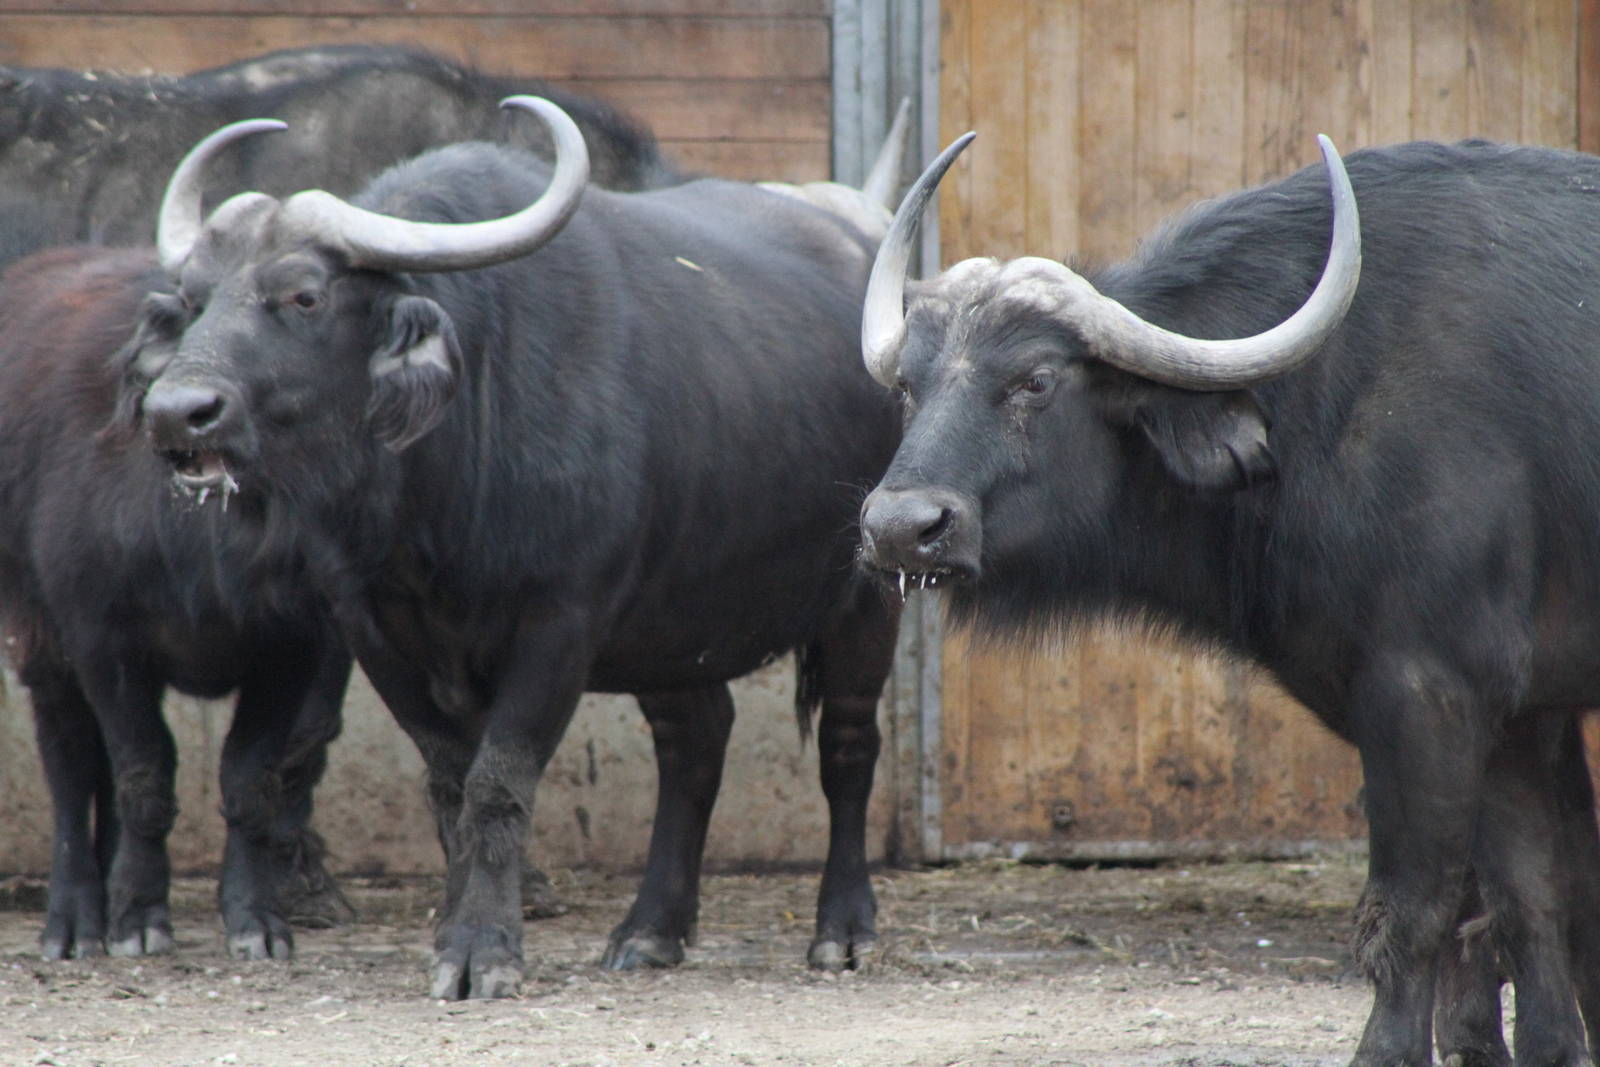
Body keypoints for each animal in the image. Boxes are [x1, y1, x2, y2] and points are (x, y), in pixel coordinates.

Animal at [129, 96, 904, 998]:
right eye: (193, 298)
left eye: (304, 295)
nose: (178, 411)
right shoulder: (375, 632)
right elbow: (450, 784)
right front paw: (454, 931)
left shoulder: (559, 623)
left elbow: (498, 783)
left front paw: (483, 949)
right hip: (674, 622)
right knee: (695, 744)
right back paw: (651, 928)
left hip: (865, 597)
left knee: (849, 746)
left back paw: (842, 929)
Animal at [858, 135, 1600, 1065]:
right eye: (909, 386)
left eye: (1035, 378)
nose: (900, 527)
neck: (1323, 402)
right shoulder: (1521, 717)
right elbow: (1535, 901)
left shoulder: (1430, 692)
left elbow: (1416, 909)